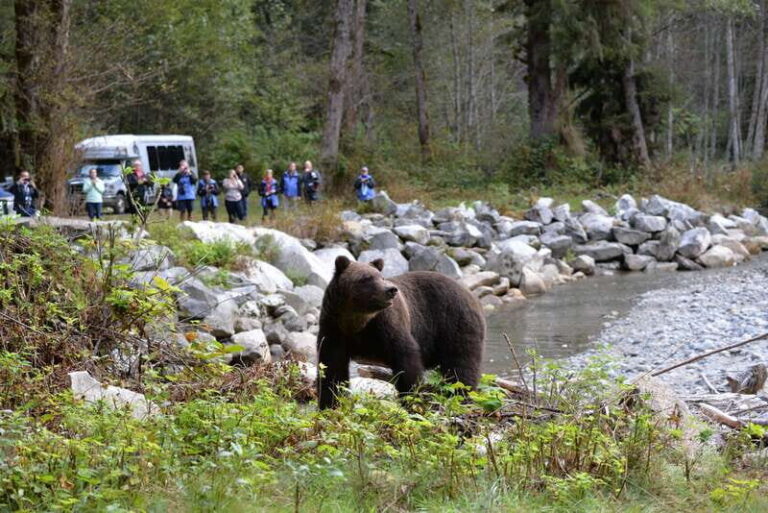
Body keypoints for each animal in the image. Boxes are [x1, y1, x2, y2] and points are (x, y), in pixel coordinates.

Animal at [316, 255, 486, 408]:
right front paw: (330, 403)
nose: (390, 290)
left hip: (453, 321)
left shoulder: (387, 325)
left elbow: (406, 358)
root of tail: (471, 294)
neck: (358, 322)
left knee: (461, 364)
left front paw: (412, 399)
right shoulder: (334, 329)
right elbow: (331, 368)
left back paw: (460, 396)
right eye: (366, 278)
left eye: (381, 277)